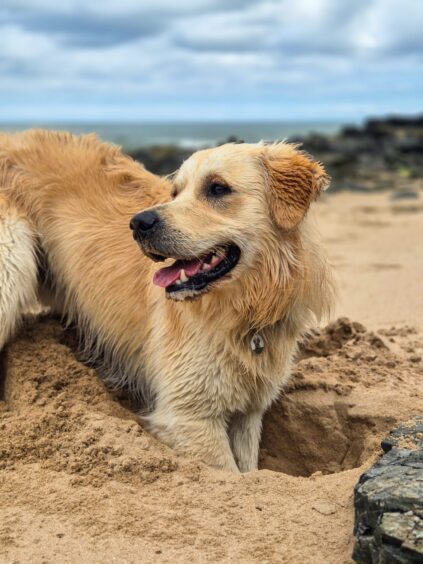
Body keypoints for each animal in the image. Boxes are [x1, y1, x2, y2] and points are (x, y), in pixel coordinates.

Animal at [0, 131, 332, 472]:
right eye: (176, 192)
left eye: (217, 188)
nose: (139, 223)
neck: (248, 307)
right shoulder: (188, 417)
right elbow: (228, 473)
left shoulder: (249, 413)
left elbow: (248, 469)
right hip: (10, 274)